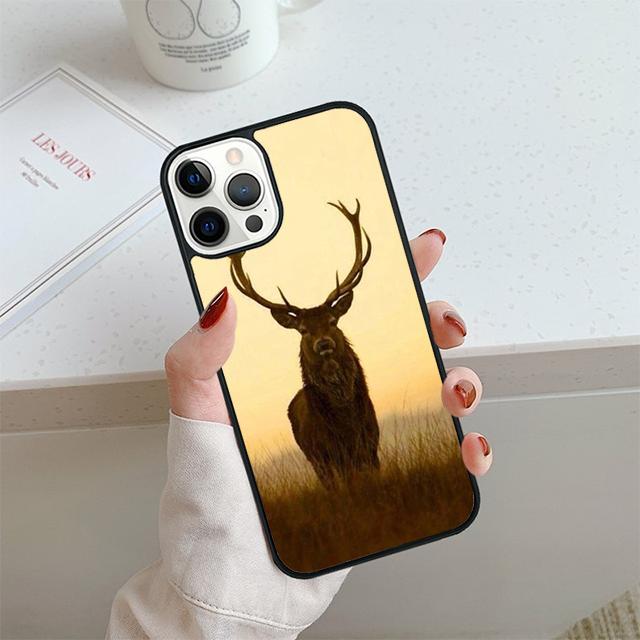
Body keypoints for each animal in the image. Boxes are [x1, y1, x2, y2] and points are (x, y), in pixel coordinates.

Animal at [230, 199, 380, 488]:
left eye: (333, 320)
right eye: (302, 330)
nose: (323, 343)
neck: (347, 425)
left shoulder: (372, 443)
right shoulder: (328, 454)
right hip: (314, 459)